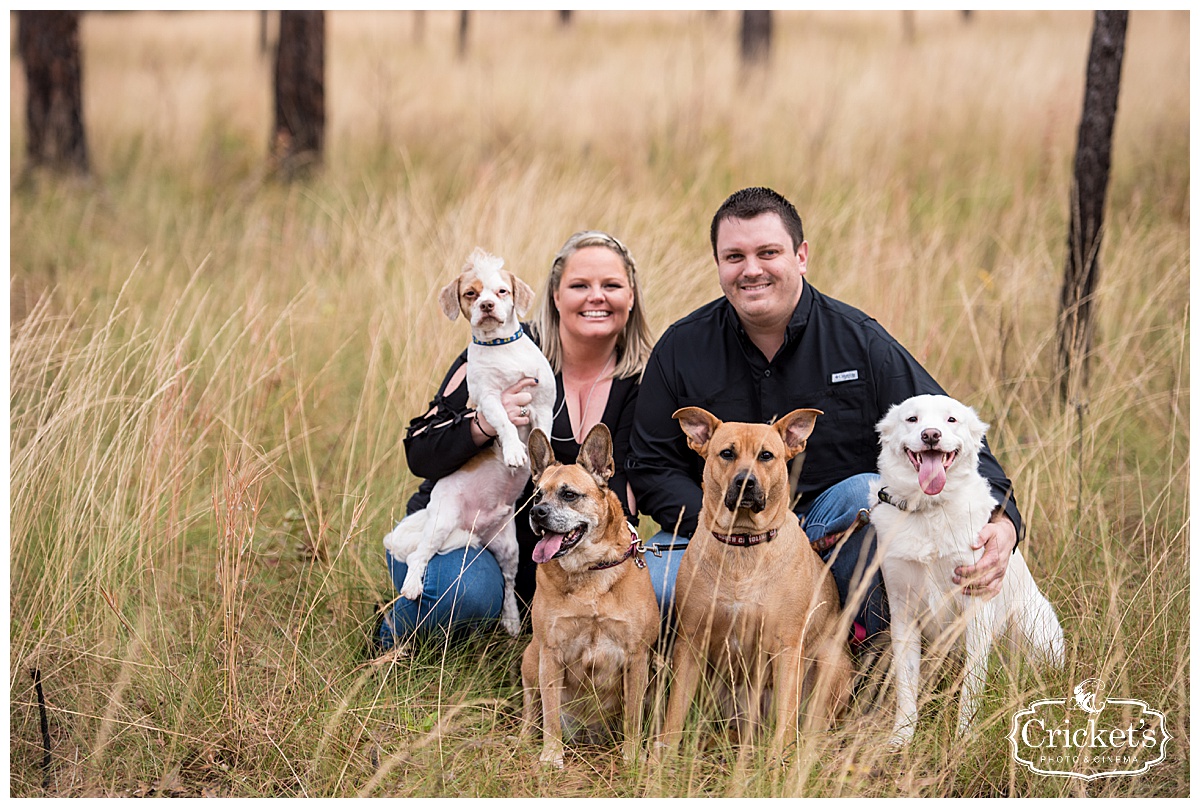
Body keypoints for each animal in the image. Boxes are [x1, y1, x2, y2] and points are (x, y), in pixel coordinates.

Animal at [657, 405, 854, 753]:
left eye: (766, 455)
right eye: (727, 453)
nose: (745, 482)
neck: (743, 544)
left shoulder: (786, 646)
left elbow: (786, 718)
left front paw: (779, 758)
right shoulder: (691, 642)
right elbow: (674, 713)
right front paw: (661, 758)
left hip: (830, 660)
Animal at [873, 391, 1060, 744]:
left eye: (951, 419)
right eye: (912, 419)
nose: (931, 435)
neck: (929, 509)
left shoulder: (976, 606)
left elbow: (972, 686)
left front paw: (965, 736)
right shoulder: (904, 612)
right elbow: (906, 685)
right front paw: (901, 737)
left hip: (1032, 628)